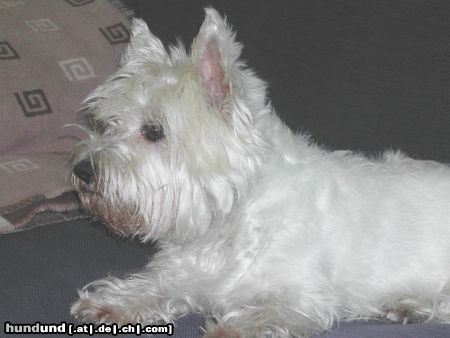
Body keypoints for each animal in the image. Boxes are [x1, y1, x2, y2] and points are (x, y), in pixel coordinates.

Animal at [69, 7, 450, 338]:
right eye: (108, 123)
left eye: (153, 131)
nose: (81, 171)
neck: (231, 216)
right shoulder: (184, 273)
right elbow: (154, 286)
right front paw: (109, 303)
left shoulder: (303, 297)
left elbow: (263, 314)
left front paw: (227, 329)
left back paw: (411, 305)